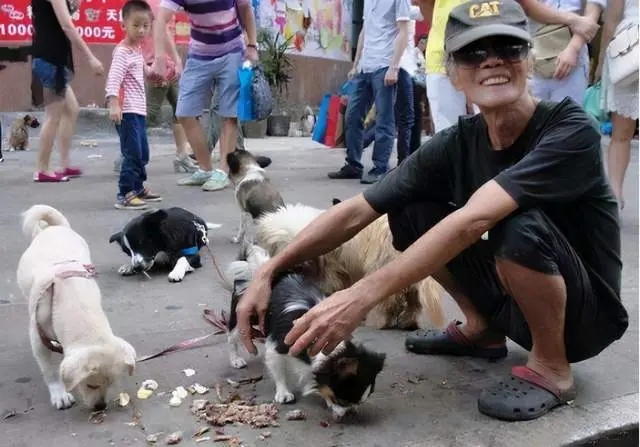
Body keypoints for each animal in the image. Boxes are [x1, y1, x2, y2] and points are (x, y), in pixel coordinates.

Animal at [16, 205, 137, 412]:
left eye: (111, 383)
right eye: (91, 385)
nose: (100, 407)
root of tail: (53, 228)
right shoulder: (37, 339)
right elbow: (50, 372)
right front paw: (59, 394)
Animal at [225, 243, 384, 422]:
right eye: (340, 400)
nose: (348, 413)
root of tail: (257, 268)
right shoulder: (277, 345)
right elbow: (278, 370)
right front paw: (283, 393)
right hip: (243, 319)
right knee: (231, 338)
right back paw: (236, 360)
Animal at [254, 205, 444, 330]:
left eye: (300, 244)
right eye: (284, 243)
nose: (299, 265)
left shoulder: (331, 273)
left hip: (380, 264)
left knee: (386, 299)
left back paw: (377, 321)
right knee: (413, 298)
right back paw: (408, 321)